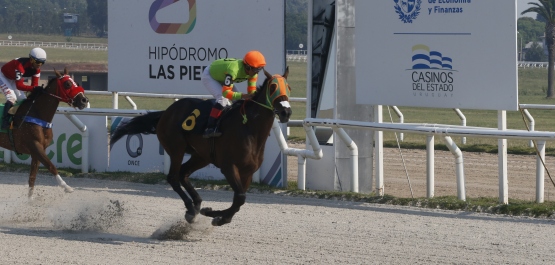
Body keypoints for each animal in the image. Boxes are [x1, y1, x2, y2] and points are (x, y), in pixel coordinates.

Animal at [0, 68, 88, 198]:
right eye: (67, 84)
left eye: (76, 82)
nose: (84, 100)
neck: (36, 114)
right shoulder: (35, 146)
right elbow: (51, 166)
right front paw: (66, 187)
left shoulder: (38, 150)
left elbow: (32, 176)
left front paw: (30, 198)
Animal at [109, 67, 292, 225]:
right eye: (273, 87)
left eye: (288, 88)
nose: (286, 112)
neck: (249, 129)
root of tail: (166, 112)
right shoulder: (228, 166)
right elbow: (240, 197)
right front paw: (217, 216)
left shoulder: (248, 171)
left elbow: (239, 200)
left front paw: (215, 214)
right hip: (176, 148)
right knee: (173, 177)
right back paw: (191, 208)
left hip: (202, 156)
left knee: (183, 173)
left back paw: (197, 204)